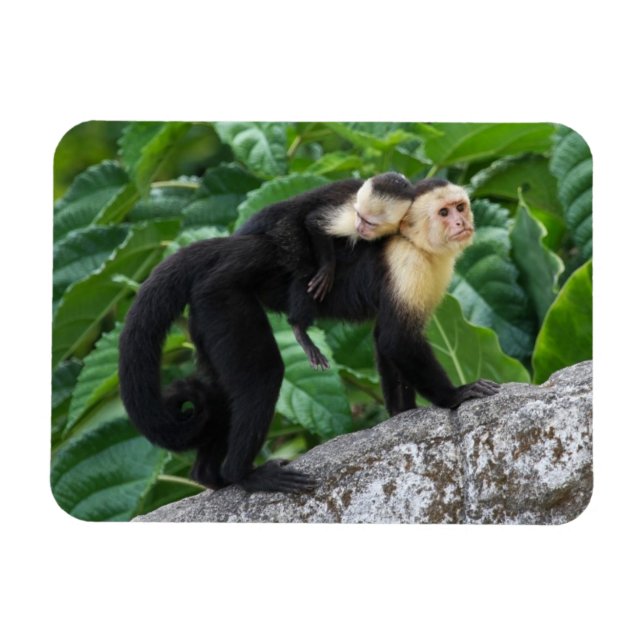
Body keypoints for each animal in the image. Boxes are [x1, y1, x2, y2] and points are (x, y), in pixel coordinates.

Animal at [237, 172, 414, 369]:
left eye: (369, 222)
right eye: (360, 216)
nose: (359, 227)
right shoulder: (349, 213)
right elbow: (314, 222)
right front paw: (328, 268)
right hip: (284, 229)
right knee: (305, 267)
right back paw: (299, 328)